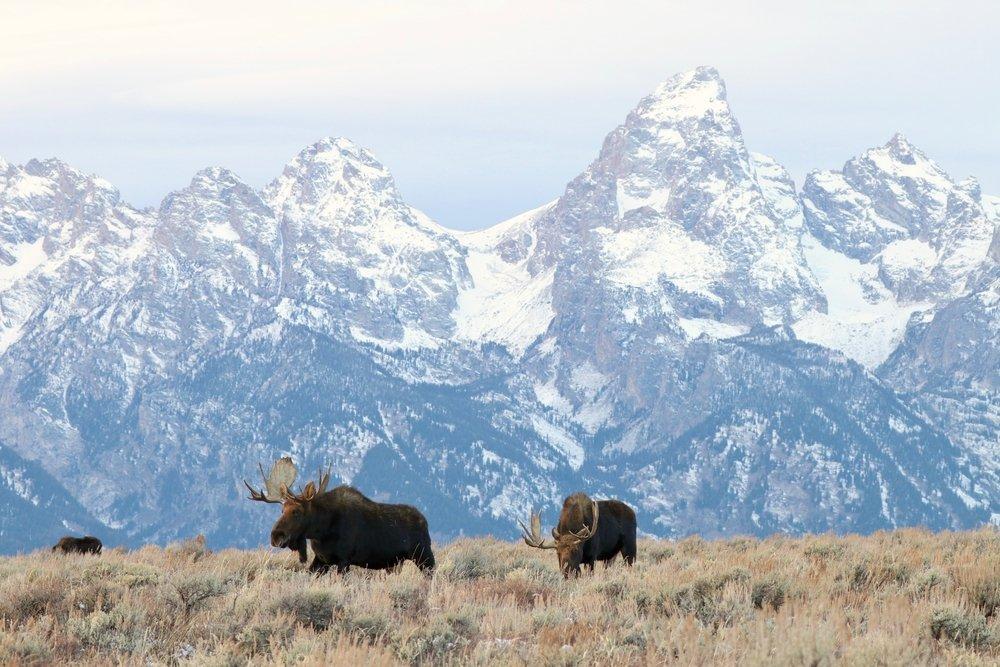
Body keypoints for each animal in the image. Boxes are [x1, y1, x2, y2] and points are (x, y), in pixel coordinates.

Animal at [243, 460, 434, 576]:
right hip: (395, 563)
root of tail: (425, 521)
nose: (276, 536)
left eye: (296, 511)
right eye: (282, 509)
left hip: (424, 556)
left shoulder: (344, 560)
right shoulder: (321, 560)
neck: (321, 531)